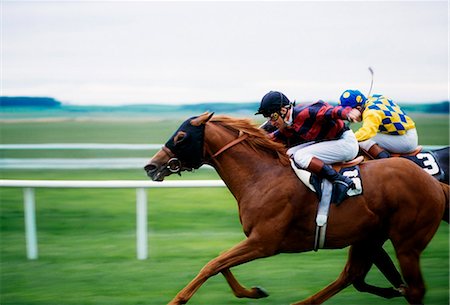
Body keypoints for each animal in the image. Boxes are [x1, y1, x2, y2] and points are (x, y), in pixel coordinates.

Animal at [146, 113, 448, 302]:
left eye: (181, 136)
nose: (151, 166)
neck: (262, 175)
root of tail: (434, 185)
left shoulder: (263, 242)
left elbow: (212, 265)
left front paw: (176, 300)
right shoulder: (257, 241)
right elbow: (219, 264)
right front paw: (255, 291)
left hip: (406, 242)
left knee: (410, 288)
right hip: (370, 236)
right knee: (354, 276)